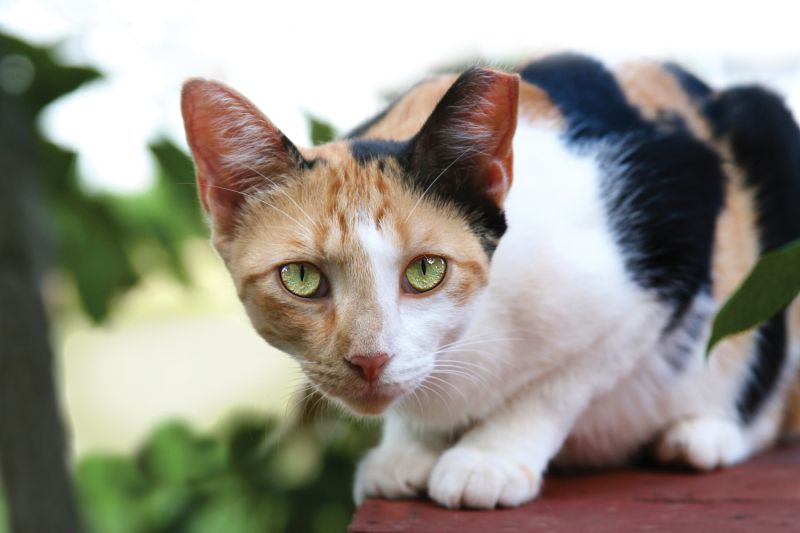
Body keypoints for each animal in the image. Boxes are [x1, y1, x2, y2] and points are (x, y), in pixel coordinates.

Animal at [181, 53, 800, 508]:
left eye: (426, 270)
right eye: (302, 277)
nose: (370, 360)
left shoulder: (671, 232)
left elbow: (561, 380)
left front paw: (488, 459)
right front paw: (409, 449)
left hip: (767, 133)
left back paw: (702, 434)